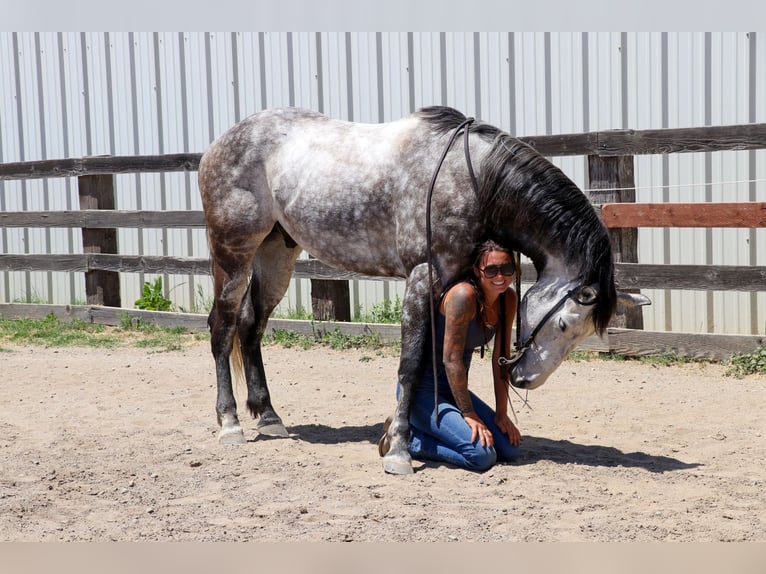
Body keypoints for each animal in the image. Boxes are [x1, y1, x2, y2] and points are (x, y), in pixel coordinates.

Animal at [201, 107, 652, 476]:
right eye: (562, 324)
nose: (524, 380)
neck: (478, 180)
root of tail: (219, 144)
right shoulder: (422, 277)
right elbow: (411, 365)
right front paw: (400, 450)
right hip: (233, 254)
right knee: (222, 327)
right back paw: (230, 423)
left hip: (277, 251)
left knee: (251, 325)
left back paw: (268, 417)